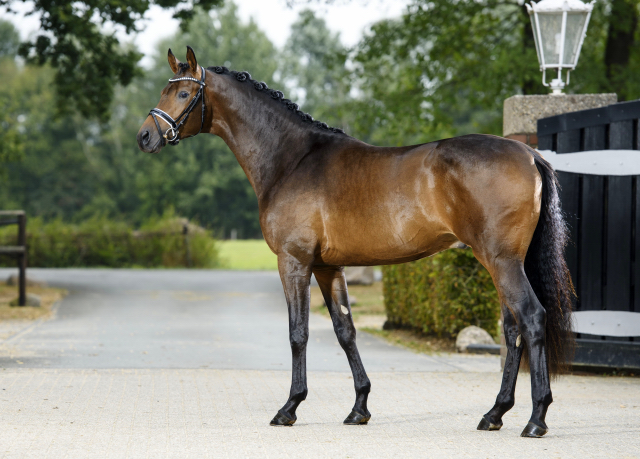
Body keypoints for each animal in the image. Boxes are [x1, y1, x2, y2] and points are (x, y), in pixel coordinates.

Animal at [136, 46, 576, 438]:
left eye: (183, 93)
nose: (144, 136)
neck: (292, 159)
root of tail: (529, 154)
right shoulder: (328, 266)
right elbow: (344, 330)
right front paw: (359, 408)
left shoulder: (294, 261)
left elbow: (298, 332)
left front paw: (289, 408)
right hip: (498, 262)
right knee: (512, 326)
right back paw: (494, 414)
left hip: (501, 260)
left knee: (531, 318)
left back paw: (536, 419)